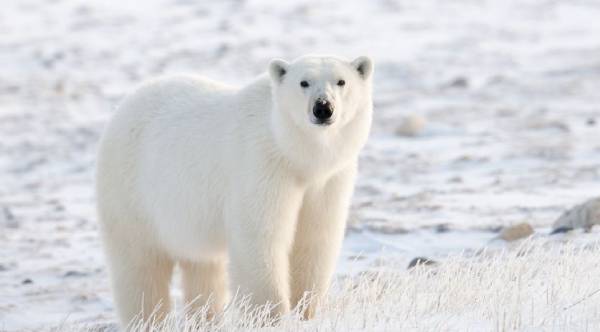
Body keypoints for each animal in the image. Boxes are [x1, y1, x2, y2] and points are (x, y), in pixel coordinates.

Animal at [95, 55, 372, 326]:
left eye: (341, 81)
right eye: (303, 82)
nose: (323, 108)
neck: (294, 155)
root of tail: (124, 106)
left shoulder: (328, 180)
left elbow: (314, 239)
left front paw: (306, 312)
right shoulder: (262, 167)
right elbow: (260, 238)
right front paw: (270, 317)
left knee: (203, 268)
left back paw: (205, 319)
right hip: (132, 193)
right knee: (140, 266)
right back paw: (148, 320)